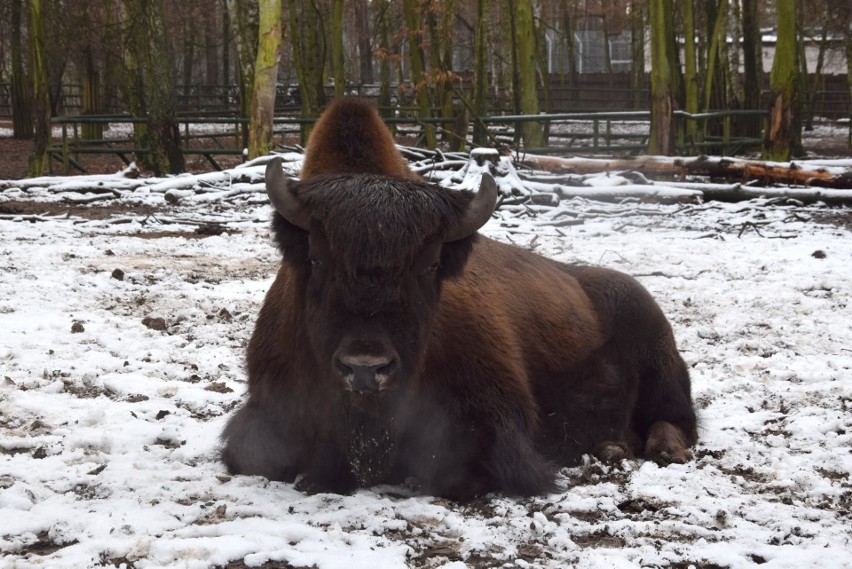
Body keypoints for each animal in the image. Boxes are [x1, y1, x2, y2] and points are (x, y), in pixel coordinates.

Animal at [223, 100, 696, 500]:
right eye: (316, 258)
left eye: (431, 263)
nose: (365, 368)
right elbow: (256, 455)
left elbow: (455, 467)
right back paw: (612, 447)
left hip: (657, 356)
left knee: (677, 420)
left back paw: (658, 449)